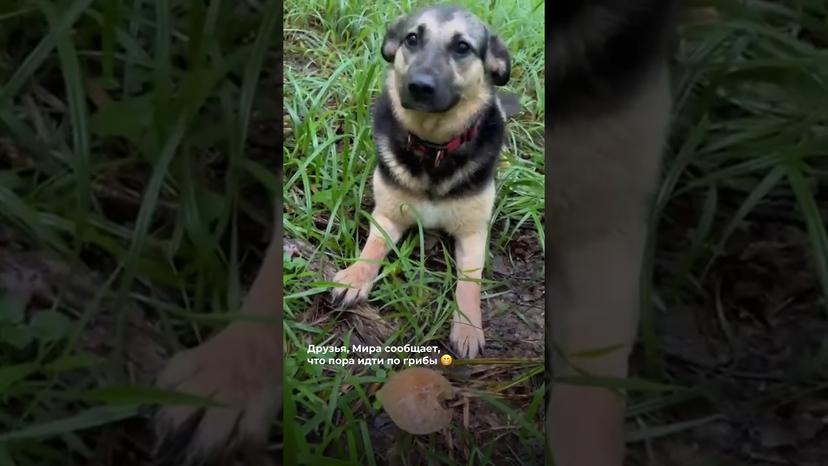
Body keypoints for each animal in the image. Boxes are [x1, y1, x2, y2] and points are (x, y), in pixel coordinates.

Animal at [328, 4, 512, 360]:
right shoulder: (388, 215)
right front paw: (356, 277)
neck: (434, 147)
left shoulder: (473, 232)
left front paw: (468, 328)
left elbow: (470, 282)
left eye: (462, 47)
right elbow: (373, 247)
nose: (419, 86)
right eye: (412, 38)